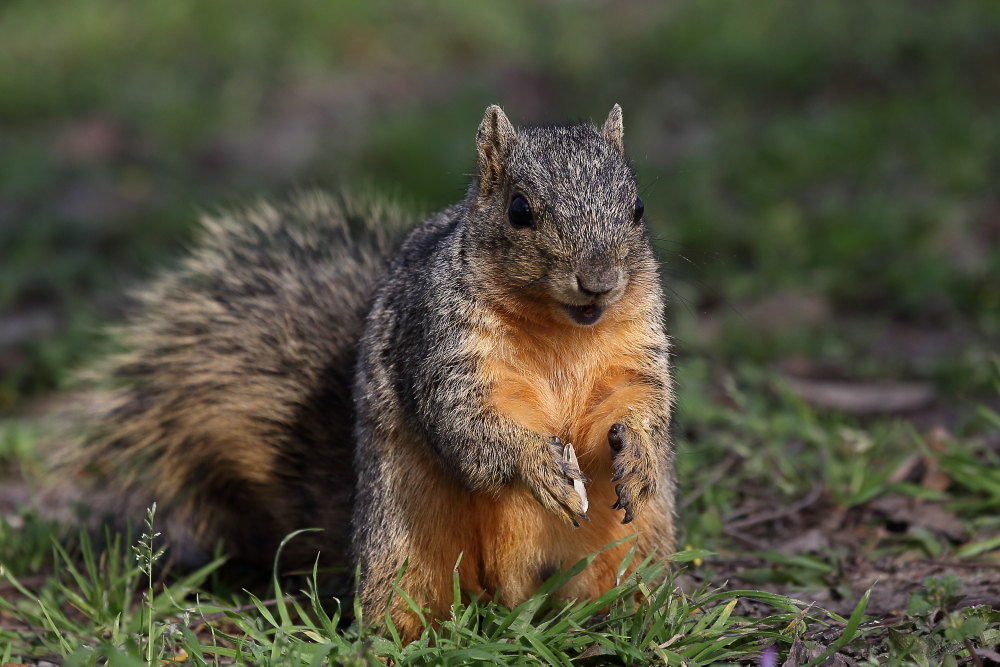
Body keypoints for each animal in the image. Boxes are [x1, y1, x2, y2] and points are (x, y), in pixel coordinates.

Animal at [64, 104, 680, 640]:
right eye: (519, 210)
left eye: (638, 208)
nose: (599, 282)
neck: (562, 331)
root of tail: (515, 595)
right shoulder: (438, 346)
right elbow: (467, 423)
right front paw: (537, 465)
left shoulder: (634, 351)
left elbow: (639, 399)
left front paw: (639, 452)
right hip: (404, 541)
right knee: (410, 603)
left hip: (635, 540)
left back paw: (636, 621)